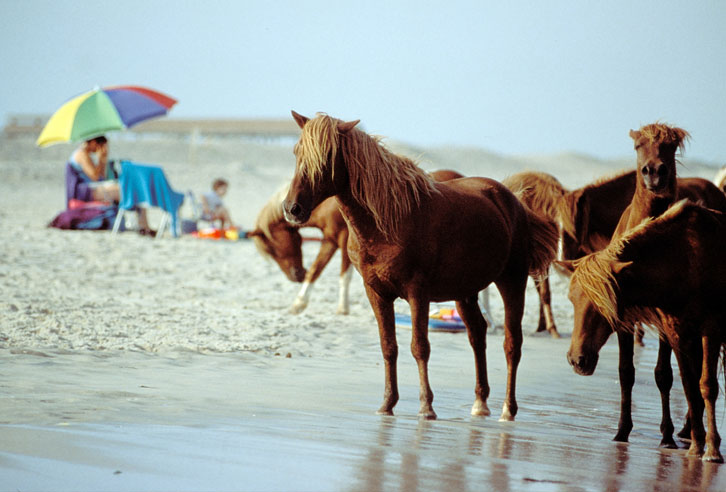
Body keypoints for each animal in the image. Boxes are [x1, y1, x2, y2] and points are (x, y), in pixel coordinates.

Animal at [250, 169, 466, 316]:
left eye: (273, 249)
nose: (295, 276)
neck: (326, 203)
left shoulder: (345, 239)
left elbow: (344, 274)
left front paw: (342, 308)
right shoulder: (329, 240)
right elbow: (316, 270)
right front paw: (298, 304)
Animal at [282, 110, 556, 418]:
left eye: (326, 157)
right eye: (296, 152)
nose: (292, 209)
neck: (387, 222)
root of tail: (512, 200)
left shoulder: (418, 293)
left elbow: (419, 347)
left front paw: (426, 407)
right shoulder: (376, 293)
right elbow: (388, 346)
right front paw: (387, 404)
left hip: (512, 281)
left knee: (512, 344)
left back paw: (508, 409)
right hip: (465, 292)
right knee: (477, 334)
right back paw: (480, 402)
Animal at [568, 199, 726, 462]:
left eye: (602, 304)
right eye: (572, 299)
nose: (577, 359)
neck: (684, 260)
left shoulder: (711, 329)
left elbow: (707, 386)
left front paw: (712, 449)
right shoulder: (678, 335)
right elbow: (690, 387)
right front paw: (696, 445)